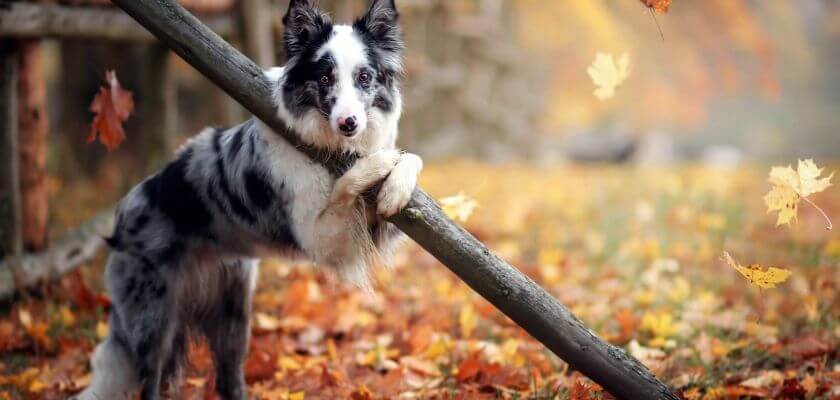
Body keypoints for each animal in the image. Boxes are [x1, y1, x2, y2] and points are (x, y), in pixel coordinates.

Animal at [75, 1, 420, 398]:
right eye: (325, 79)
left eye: (364, 77)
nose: (349, 123)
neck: (333, 147)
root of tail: (122, 217)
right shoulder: (322, 237)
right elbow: (349, 182)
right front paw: (377, 163)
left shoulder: (376, 228)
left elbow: (411, 160)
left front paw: (396, 185)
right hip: (151, 320)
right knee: (149, 379)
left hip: (234, 312)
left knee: (228, 378)